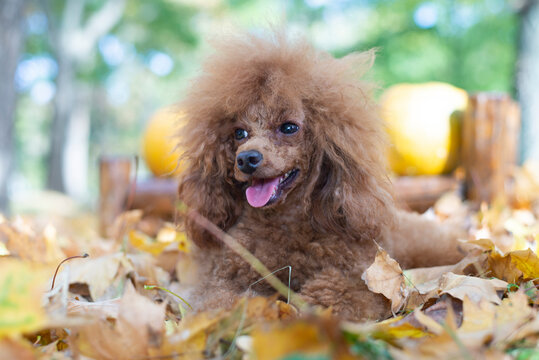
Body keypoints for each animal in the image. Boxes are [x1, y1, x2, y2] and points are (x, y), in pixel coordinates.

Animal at [176, 31, 464, 320]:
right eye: (239, 133)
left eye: (289, 127)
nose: (246, 159)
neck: (284, 221)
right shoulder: (223, 278)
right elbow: (220, 304)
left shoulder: (359, 276)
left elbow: (334, 294)